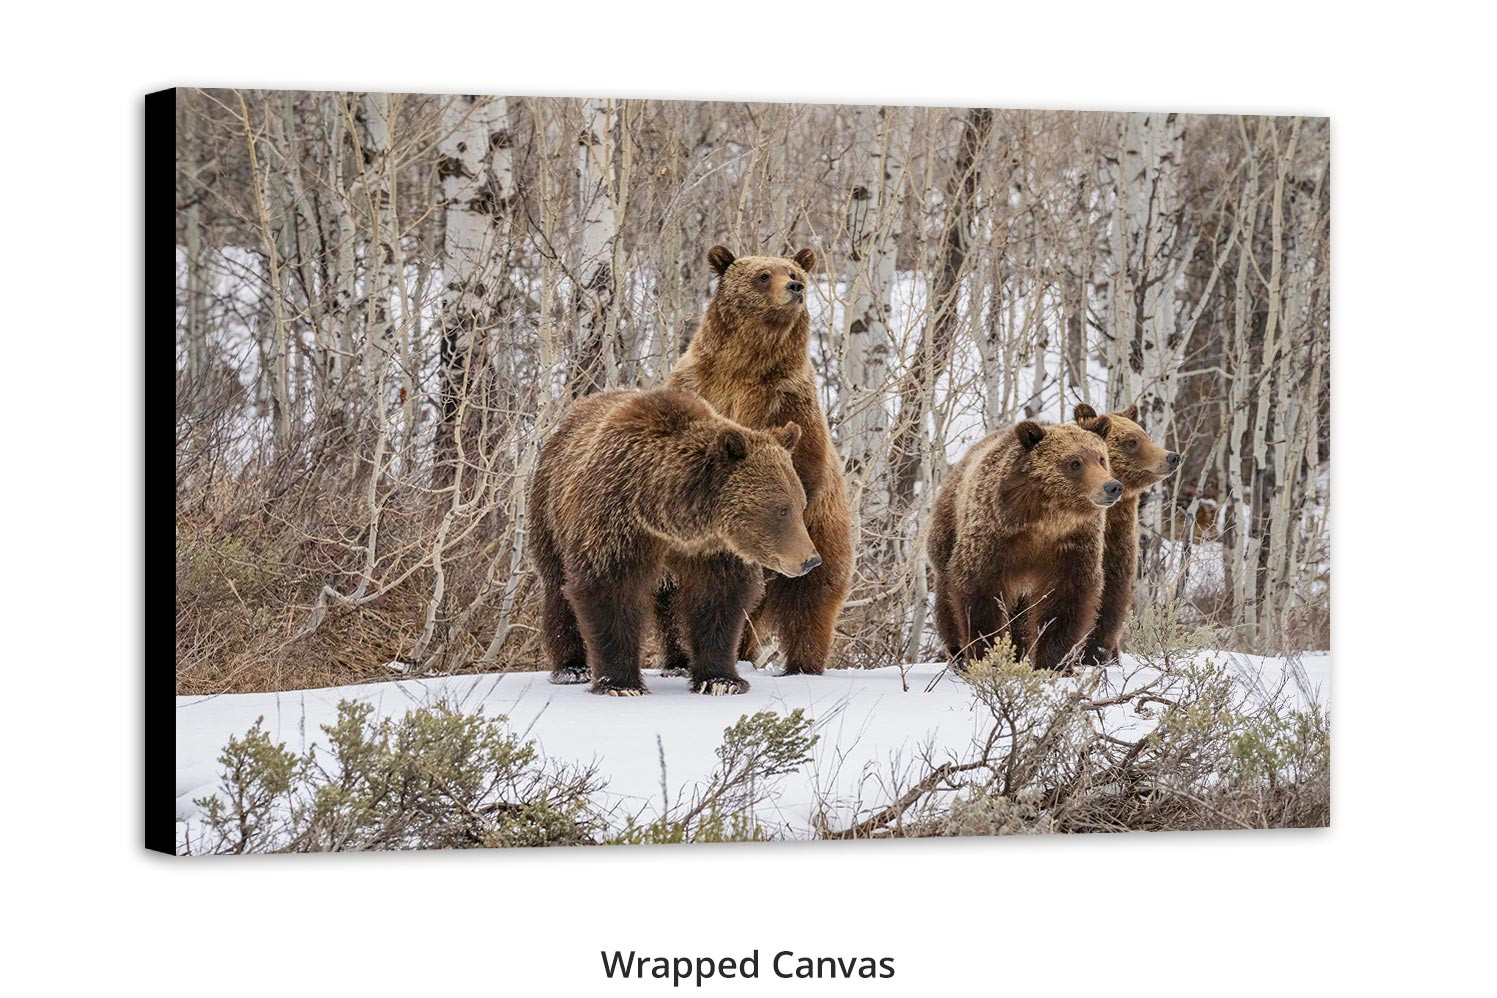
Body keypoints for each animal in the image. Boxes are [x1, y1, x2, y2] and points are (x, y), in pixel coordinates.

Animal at [527, 387, 819, 696]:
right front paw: (621, 684)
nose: (810, 560)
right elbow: (608, 590)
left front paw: (721, 680)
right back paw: (571, 668)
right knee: (557, 589)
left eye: (800, 504)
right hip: (550, 513)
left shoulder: (711, 550)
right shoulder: (616, 524)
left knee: (670, 608)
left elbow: (718, 600)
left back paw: (678, 663)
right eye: (781, 509)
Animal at [657, 245, 853, 677]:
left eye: (794, 271)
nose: (795, 287)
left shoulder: (789, 400)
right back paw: (682, 658)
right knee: (670, 598)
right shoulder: (698, 385)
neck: (745, 367)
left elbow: (803, 460)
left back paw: (802, 664)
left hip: (823, 540)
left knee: (811, 602)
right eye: (763, 275)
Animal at [927, 417, 1122, 671]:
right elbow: (978, 592)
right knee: (946, 601)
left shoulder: (1072, 546)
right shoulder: (994, 538)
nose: (1112, 486)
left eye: (1100, 458)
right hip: (948, 528)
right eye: (1074, 463)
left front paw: (1054, 663)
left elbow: (1066, 601)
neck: (1045, 520)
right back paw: (957, 655)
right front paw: (987, 654)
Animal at [1071, 403, 1181, 665]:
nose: (1172, 456)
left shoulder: (1119, 551)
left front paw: (1101, 653)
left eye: (1146, 435)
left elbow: (1112, 599)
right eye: (1131, 441)